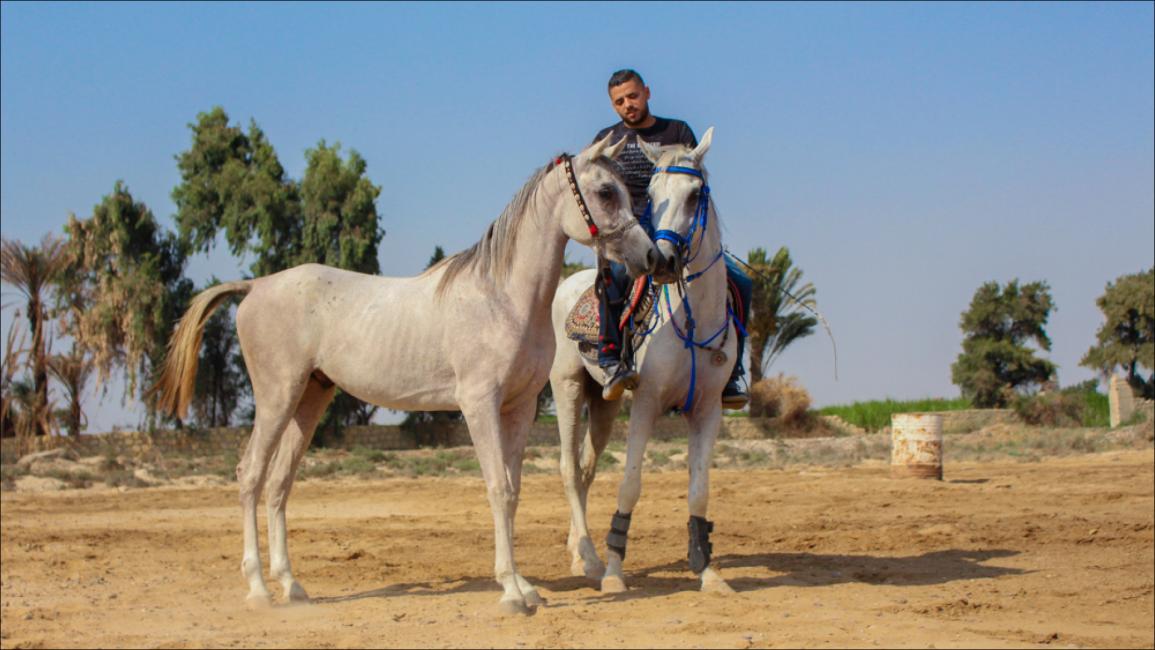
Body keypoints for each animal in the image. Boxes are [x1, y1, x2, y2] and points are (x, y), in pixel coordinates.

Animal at [153, 136, 660, 614]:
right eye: (605, 191)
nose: (652, 257)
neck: (503, 297)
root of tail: (256, 286)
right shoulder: (479, 405)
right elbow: (498, 489)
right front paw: (511, 594)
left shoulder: (519, 409)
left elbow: (514, 491)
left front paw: (525, 588)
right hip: (277, 397)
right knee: (250, 475)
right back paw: (259, 589)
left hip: (310, 399)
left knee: (278, 484)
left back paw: (292, 586)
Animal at [547, 126, 729, 595]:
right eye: (650, 192)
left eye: (695, 194)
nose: (663, 260)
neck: (693, 317)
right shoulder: (646, 402)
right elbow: (630, 483)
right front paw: (614, 573)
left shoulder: (709, 408)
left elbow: (700, 489)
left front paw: (707, 570)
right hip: (569, 387)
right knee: (569, 469)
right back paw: (590, 559)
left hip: (604, 402)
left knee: (587, 469)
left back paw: (579, 551)